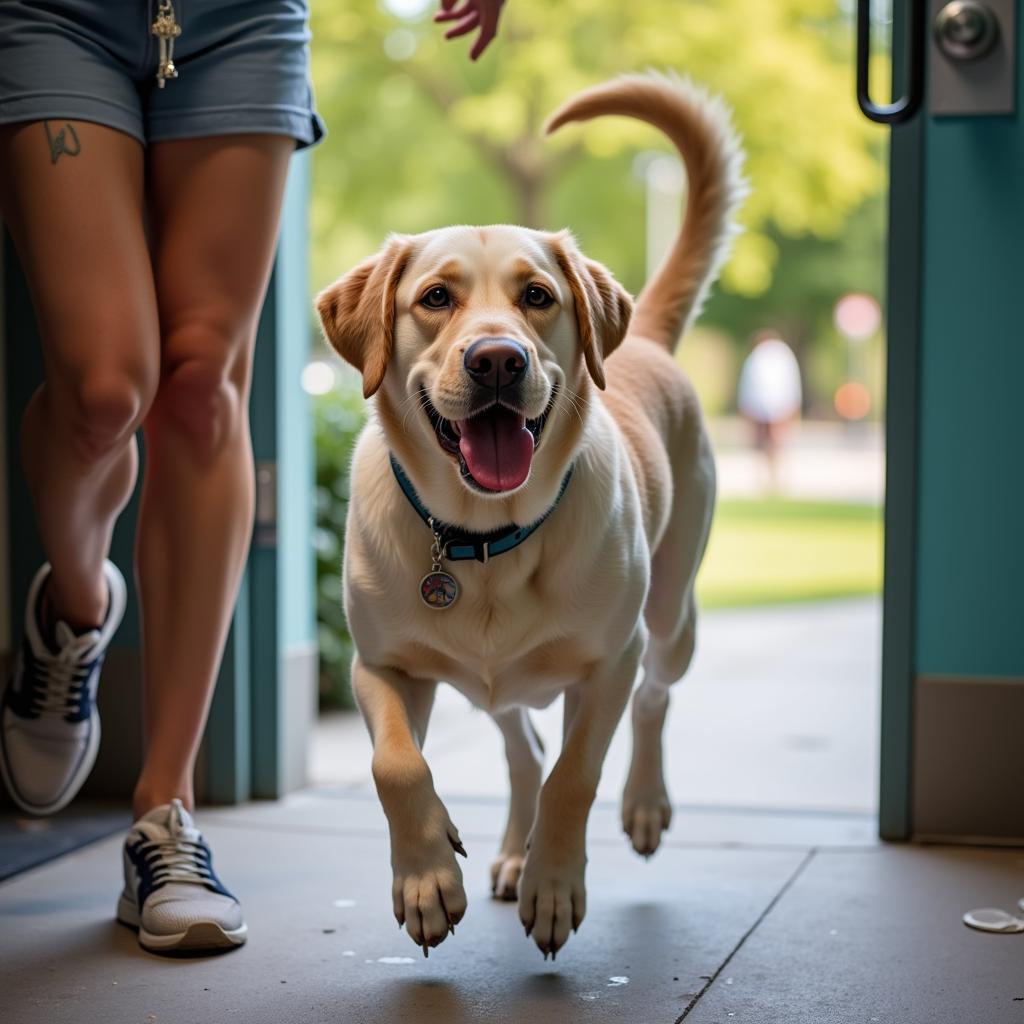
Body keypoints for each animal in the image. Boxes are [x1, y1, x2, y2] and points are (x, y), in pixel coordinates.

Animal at [315, 74, 741, 958]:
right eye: (435, 298)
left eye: (538, 296)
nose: (497, 359)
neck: (481, 537)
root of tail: (643, 340)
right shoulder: (378, 665)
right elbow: (396, 766)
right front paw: (427, 880)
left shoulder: (610, 659)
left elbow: (575, 773)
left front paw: (553, 885)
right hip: (497, 685)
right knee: (523, 747)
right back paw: (510, 851)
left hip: (670, 617)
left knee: (651, 699)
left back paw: (641, 806)